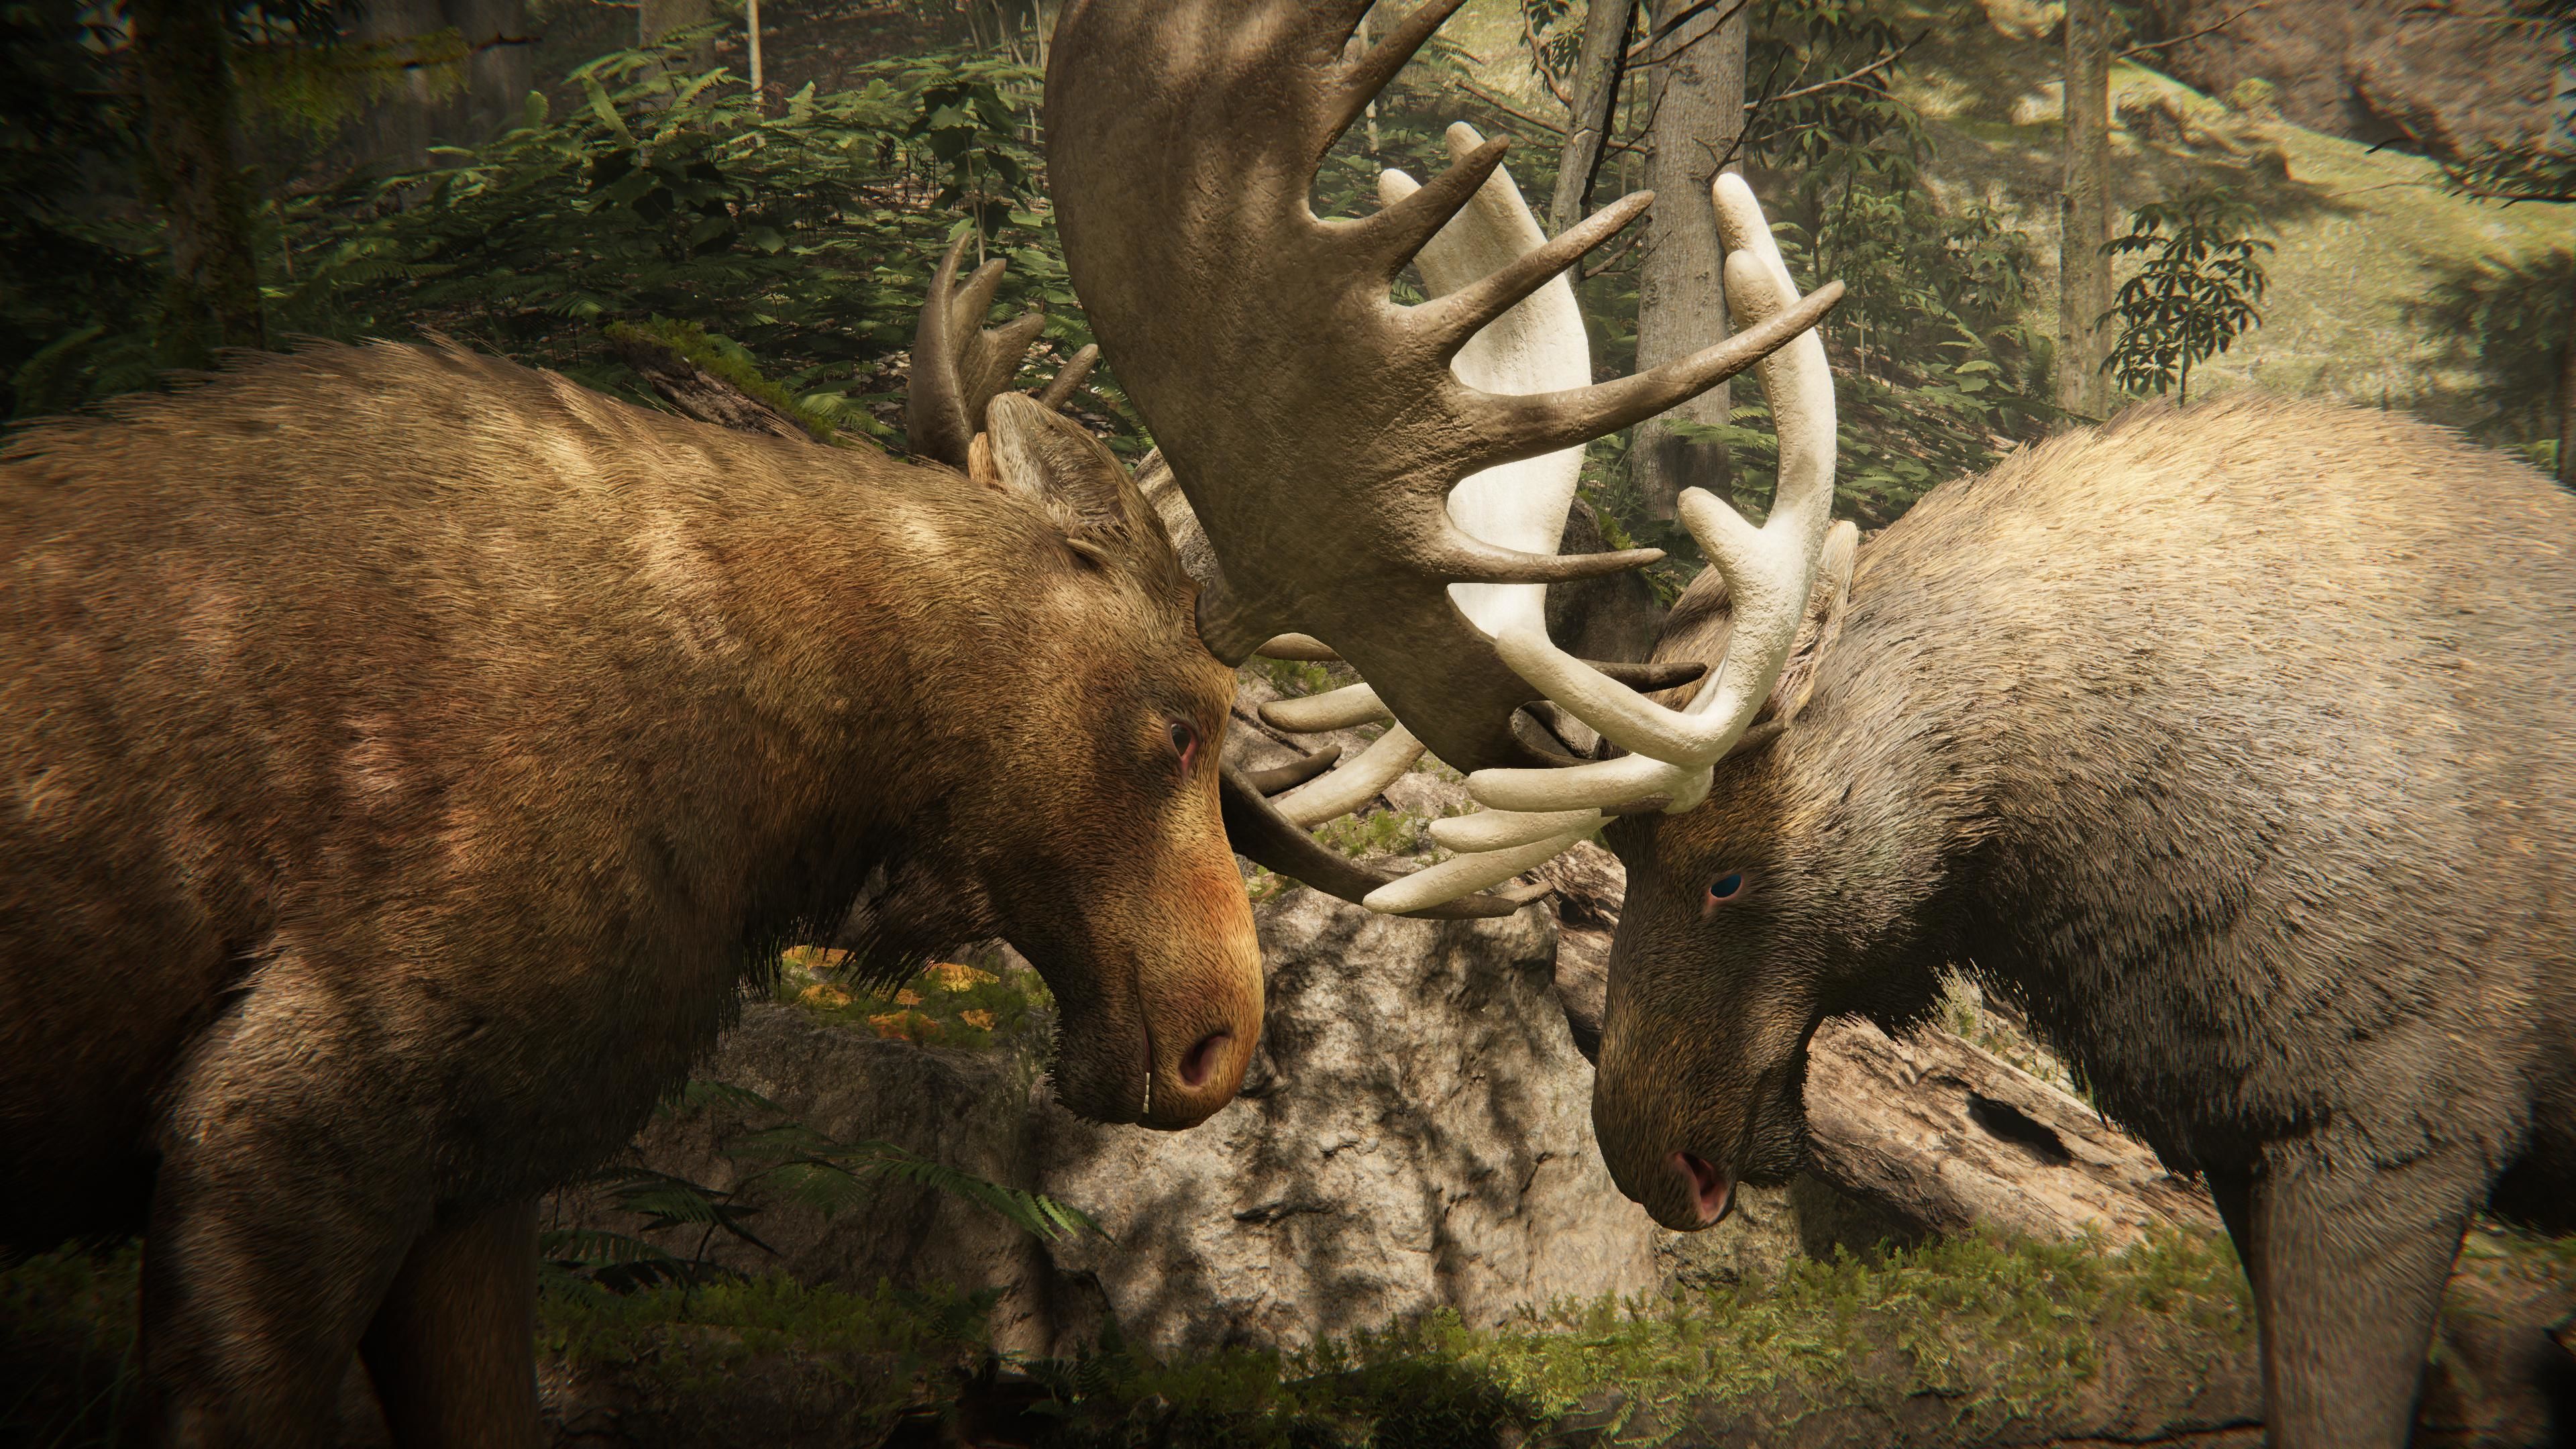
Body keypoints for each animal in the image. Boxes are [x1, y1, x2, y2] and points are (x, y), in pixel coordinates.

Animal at [1043, 4, 2576, 1445]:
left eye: (1726, 876)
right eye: (1624, 871)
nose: (1649, 1155)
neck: (2131, 873)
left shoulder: (2388, 1131)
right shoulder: (2249, 1138)